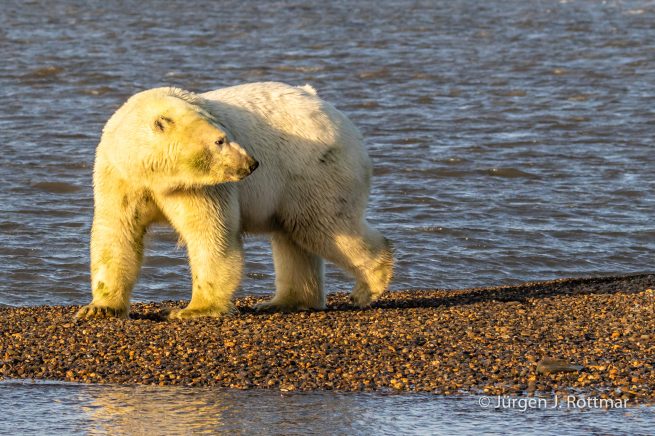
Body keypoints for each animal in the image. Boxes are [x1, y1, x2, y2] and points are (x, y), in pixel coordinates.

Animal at [75, 81, 393, 320]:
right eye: (219, 141)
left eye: (225, 135)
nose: (252, 164)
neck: (154, 174)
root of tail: (328, 108)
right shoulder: (120, 178)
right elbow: (117, 233)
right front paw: (99, 309)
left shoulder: (200, 187)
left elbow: (209, 233)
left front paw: (192, 310)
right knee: (294, 235)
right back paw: (284, 301)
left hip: (314, 169)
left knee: (323, 226)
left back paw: (368, 286)